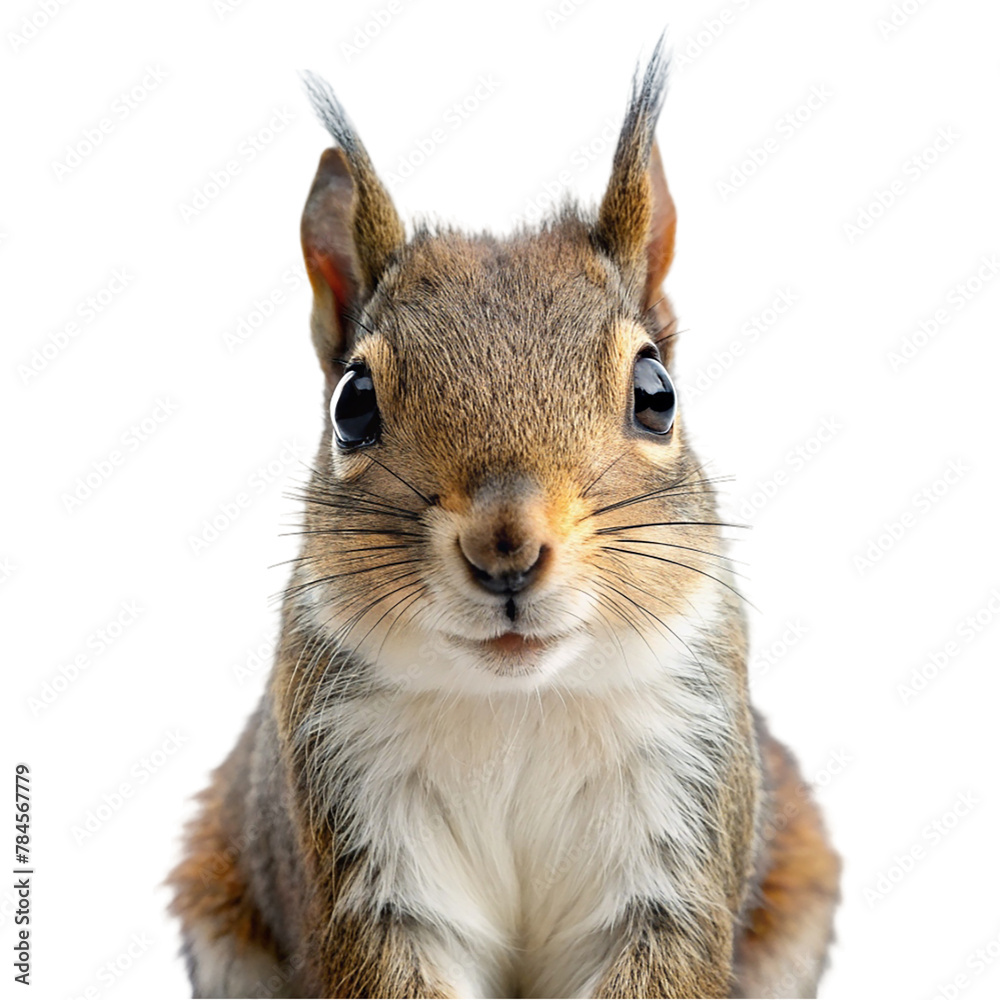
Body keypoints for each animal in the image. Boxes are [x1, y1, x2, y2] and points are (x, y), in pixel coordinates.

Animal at [168, 42, 840, 999]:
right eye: (352, 405)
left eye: (657, 394)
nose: (506, 549)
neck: (516, 705)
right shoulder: (363, 840)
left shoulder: (681, 812)